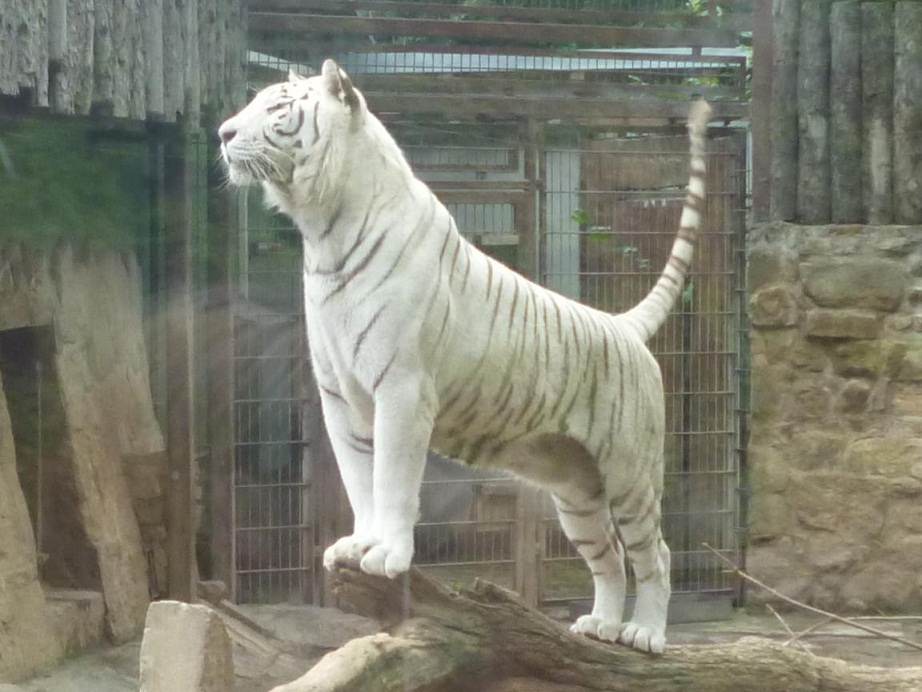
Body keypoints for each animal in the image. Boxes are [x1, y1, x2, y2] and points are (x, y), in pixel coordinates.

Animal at [219, 59, 708, 656]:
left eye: (277, 108)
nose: (222, 134)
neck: (323, 229)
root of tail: (622, 324)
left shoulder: (401, 388)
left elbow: (392, 479)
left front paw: (388, 554)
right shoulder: (338, 396)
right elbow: (359, 479)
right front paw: (357, 544)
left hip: (629, 471)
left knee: (654, 553)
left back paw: (645, 633)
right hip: (576, 491)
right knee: (609, 556)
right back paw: (601, 627)